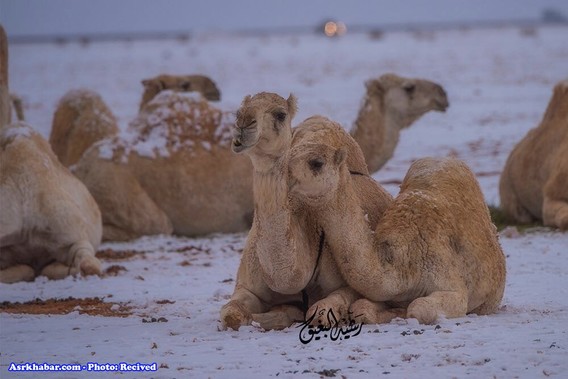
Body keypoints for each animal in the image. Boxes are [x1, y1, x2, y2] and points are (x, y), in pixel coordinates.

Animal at [220, 93, 392, 332]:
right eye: (238, 111)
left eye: (280, 114)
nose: (243, 123)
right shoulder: (247, 286)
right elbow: (231, 314)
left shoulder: (348, 285)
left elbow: (320, 312)